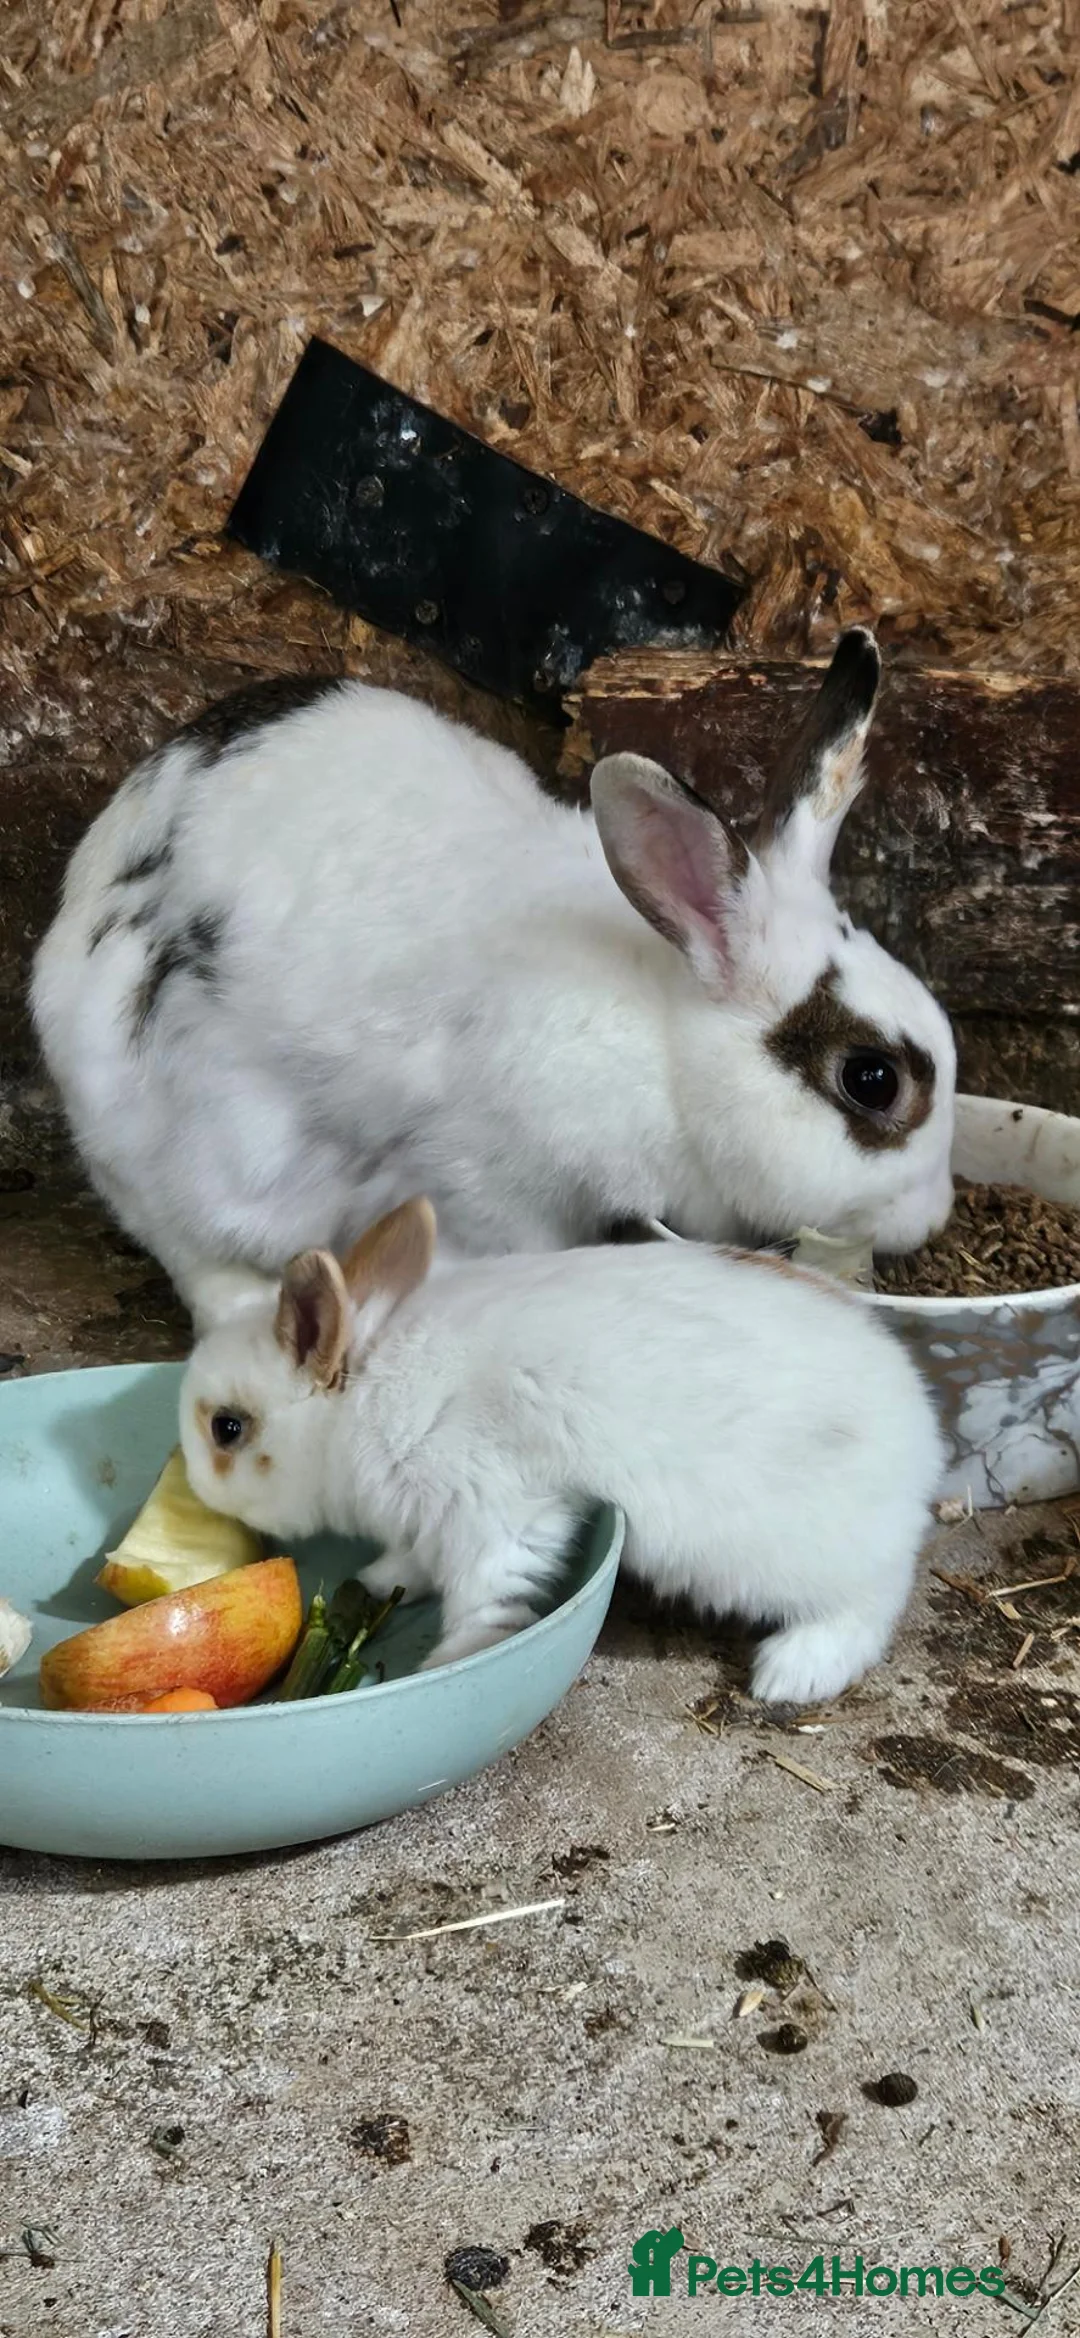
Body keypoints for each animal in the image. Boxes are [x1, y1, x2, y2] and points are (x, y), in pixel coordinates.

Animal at [32, 632, 956, 1329]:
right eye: (871, 1080)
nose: (935, 1216)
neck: (662, 1037)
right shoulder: (489, 1178)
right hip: (178, 1151)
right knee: (183, 1244)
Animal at [178, 1196, 945, 1704]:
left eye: (228, 1429)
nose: (191, 1486)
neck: (363, 1395)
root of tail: (919, 1440)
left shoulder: (494, 1509)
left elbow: (487, 1596)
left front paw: (450, 1665)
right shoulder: (432, 1520)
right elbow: (414, 1561)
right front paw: (375, 1580)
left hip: (796, 1557)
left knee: (870, 1603)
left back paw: (791, 1673)